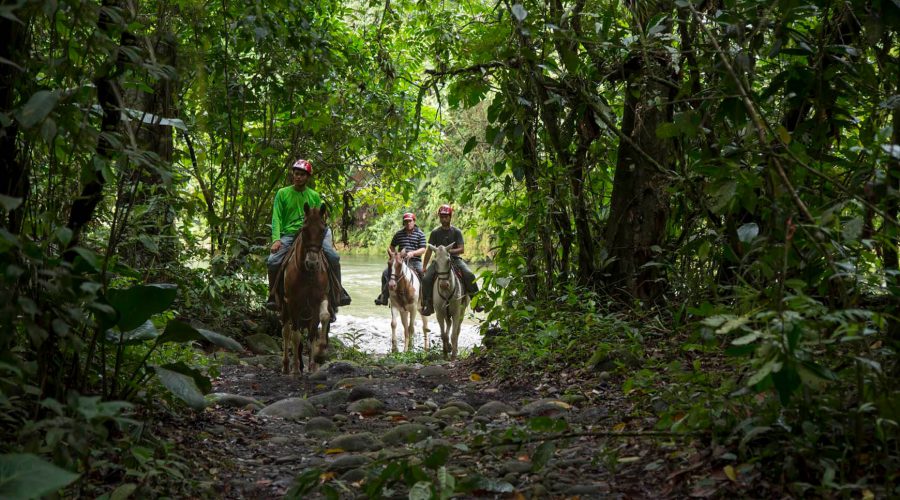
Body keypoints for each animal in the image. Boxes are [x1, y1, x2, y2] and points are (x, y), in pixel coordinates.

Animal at [278, 204, 330, 376]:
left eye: (323, 230)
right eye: (304, 229)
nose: (312, 263)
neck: (308, 274)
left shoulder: (320, 298)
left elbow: (322, 321)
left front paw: (318, 358)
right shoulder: (293, 302)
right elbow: (295, 336)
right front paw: (295, 370)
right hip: (285, 307)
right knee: (286, 331)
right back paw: (287, 365)